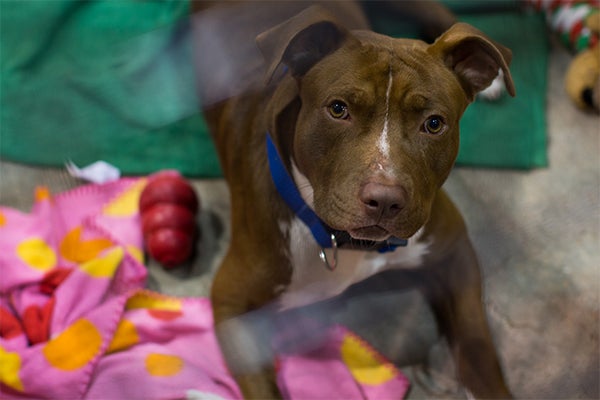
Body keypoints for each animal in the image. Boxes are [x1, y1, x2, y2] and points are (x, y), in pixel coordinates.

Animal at [193, 1, 516, 398]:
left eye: (434, 124)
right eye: (338, 109)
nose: (385, 200)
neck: (345, 243)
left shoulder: (455, 251)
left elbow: (477, 346)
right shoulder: (232, 300)